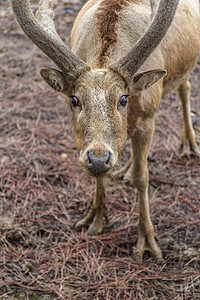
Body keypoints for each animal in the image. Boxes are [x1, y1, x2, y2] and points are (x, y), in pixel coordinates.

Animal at [10, 0, 200, 262]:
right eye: (74, 99)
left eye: (123, 98)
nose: (98, 158)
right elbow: (102, 176)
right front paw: (96, 218)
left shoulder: (147, 118)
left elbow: (143, 178)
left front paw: (146, 242)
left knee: (185, 85)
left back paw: (189, 145)